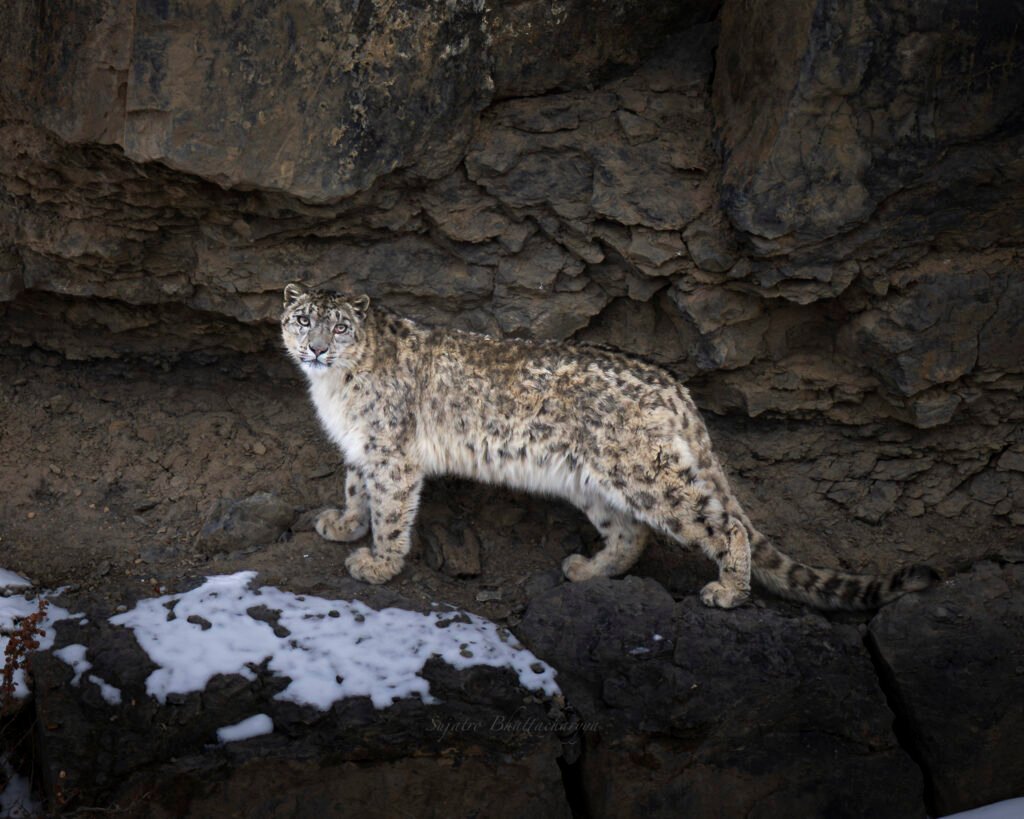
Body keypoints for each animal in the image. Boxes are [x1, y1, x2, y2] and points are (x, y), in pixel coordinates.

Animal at [280, 282, 938, 610]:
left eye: (339, 326)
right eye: (302, 319)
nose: (315, 348)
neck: (331, 389)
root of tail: (675, 388)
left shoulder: (390, 451)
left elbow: (391, 508)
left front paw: (377, 563)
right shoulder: (362, 448)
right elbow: (357, 487)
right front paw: (343, 524)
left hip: (647, 475)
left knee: (724, 525)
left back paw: (727, 591)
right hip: (593, 481)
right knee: (631, 533)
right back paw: (589, 570)